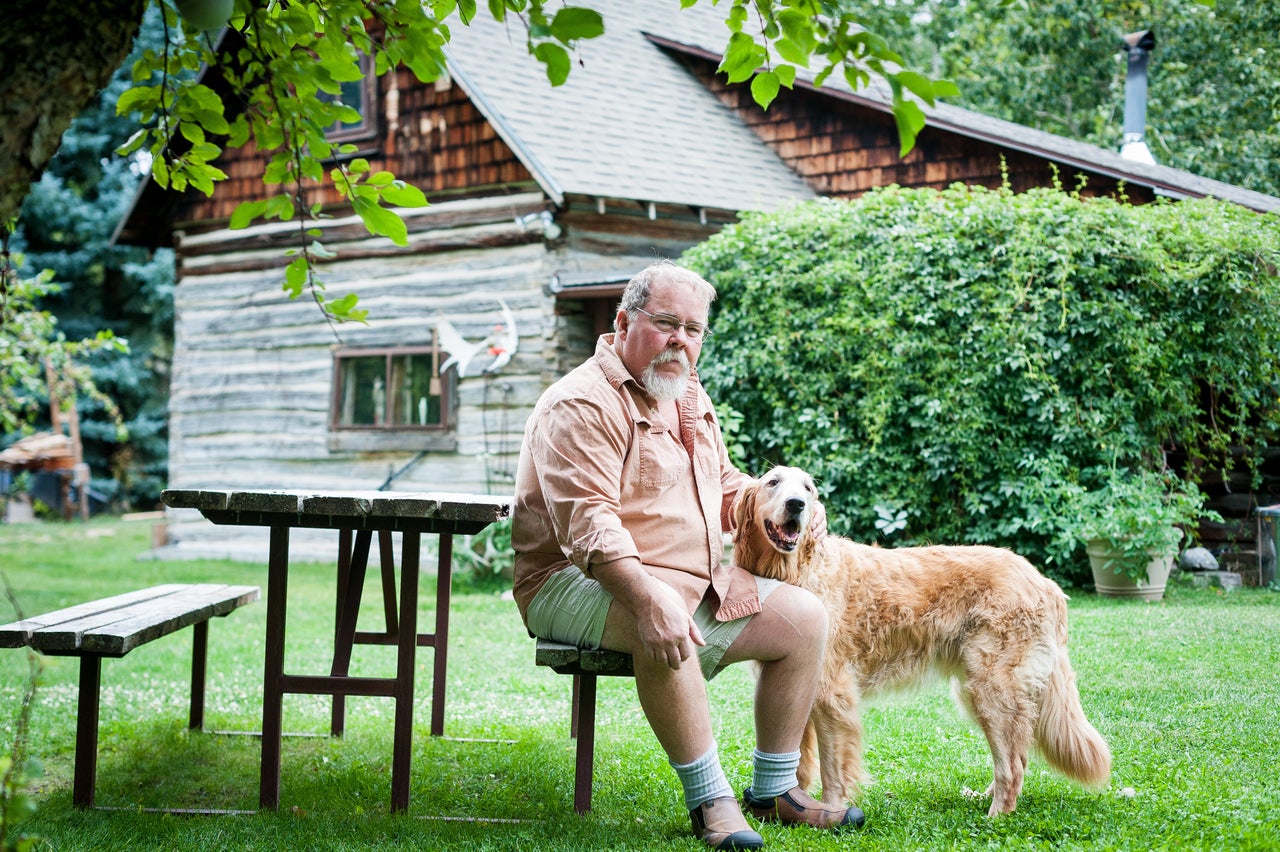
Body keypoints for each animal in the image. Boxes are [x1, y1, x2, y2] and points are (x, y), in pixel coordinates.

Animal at [737, 465, 1116, 818]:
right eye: (773, 483)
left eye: (807, 488)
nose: (796, 504)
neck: (795, 570)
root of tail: (1042, 580)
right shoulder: (797, 685)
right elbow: (796, 764)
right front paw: (790, 806)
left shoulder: (832, 695)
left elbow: (833, 771)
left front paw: (831, 811)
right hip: (979, 691)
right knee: (1016, 758)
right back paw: (983, 799)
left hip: (992, 689)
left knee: (1011, 766)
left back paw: (995, 816)